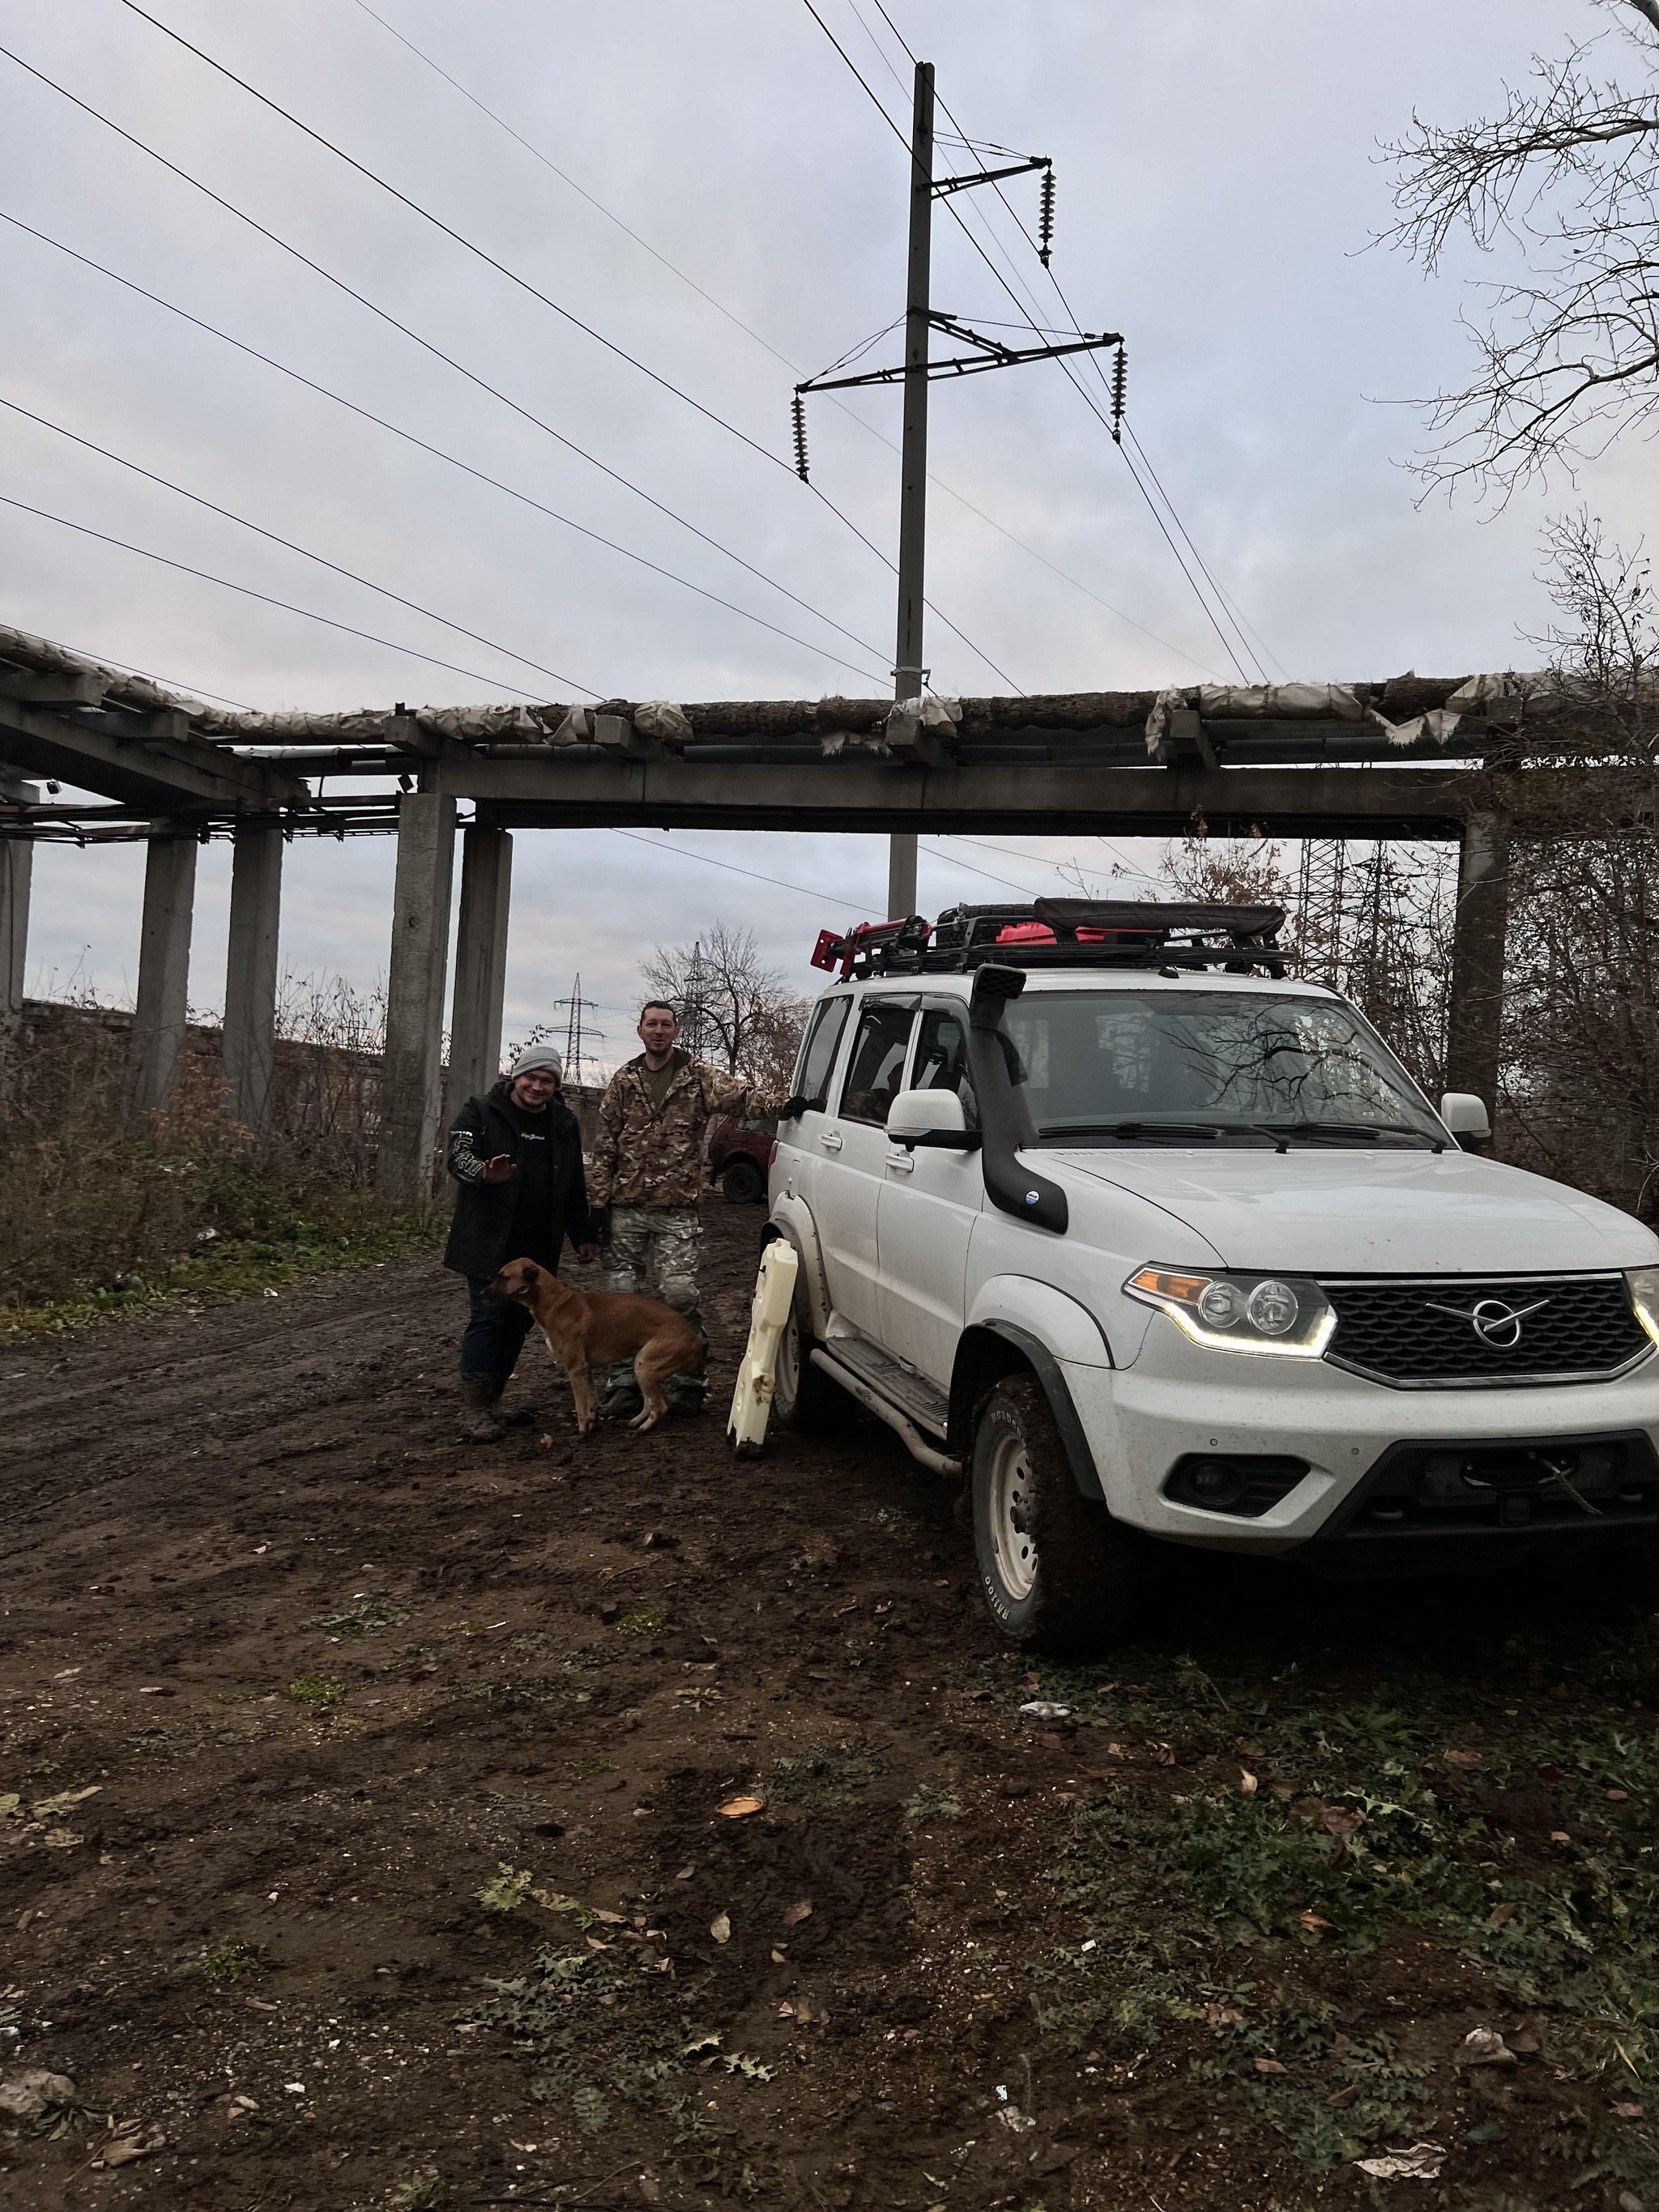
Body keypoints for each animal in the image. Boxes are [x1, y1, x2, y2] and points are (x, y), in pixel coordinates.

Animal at [491, 1265, 703, 1433]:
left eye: (503, 1277)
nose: (484, 1291)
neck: (556, 1304)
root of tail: (693, 1336)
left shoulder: (575, 1369)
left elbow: (580, 1406)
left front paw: (583, 1432)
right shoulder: (586, 1370)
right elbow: (592, 1401)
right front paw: (594, 1423)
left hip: (645, 1366)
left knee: (659, 1407)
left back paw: (642, 1430)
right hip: (641, 1369)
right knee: (649, 1403)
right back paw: (635, 1422)